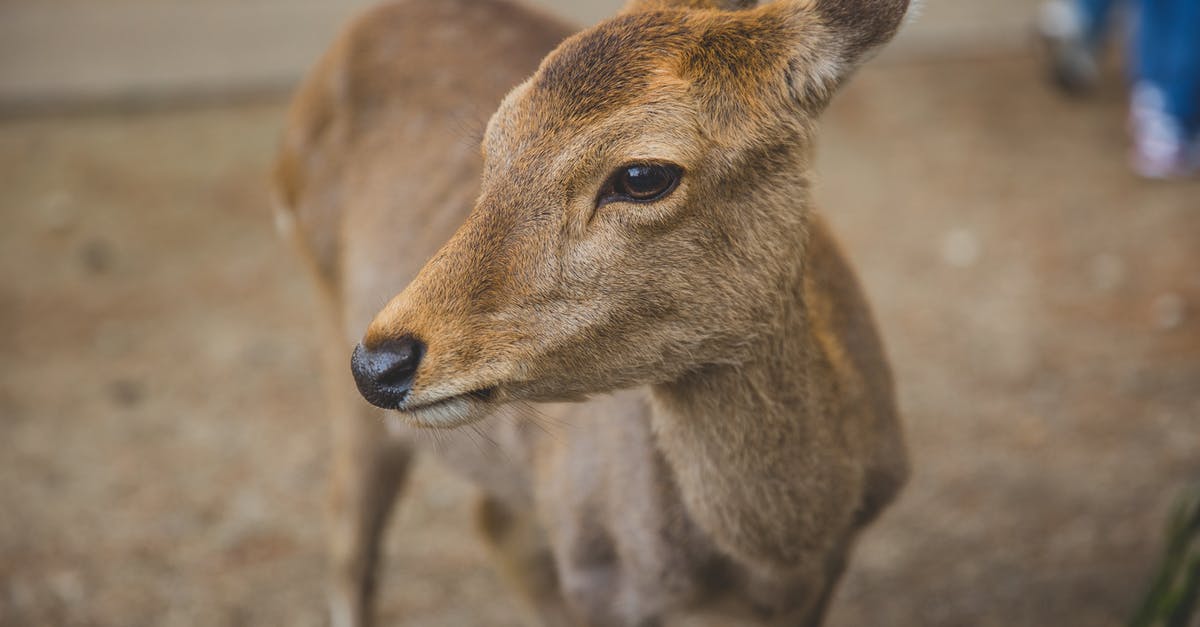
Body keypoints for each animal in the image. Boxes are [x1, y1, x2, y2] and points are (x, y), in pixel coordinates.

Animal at [272, 0, 907, 619]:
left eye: (643, 174)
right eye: (493, 147)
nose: (381, 361)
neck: (778, 555)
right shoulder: (594, 574)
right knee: (349, 529)